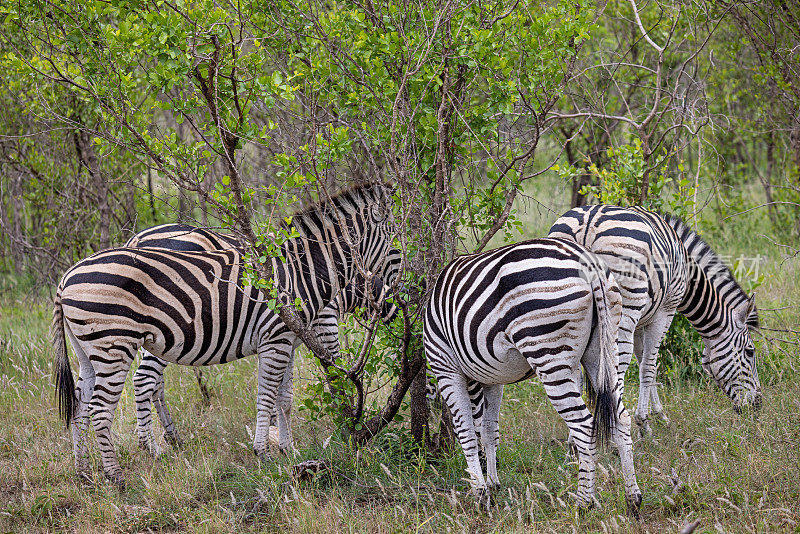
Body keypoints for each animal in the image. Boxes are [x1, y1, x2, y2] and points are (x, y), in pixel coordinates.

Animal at [126, 224, 404, 458]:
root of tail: (137, 239)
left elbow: (281, 389)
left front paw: (274, 431)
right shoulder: (324, 318)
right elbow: (334, 367)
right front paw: (345, 414)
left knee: (156, 383)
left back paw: (173, 438)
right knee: (145, 379)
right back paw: (154, 446)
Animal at [424, 240, 644, 516]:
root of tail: (587, 261)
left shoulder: (446, 368)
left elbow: (467, 432)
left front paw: (481, 494)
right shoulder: (493, 378)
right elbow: (488, 429)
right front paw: (492, 483)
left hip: (548, 352)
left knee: (584, 425)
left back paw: (583, 502)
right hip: (604, 349)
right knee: (621, 418)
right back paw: (632, 498)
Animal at [552, 205, 764, 436]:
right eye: (750, 352)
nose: (757, 406)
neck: (687, 274)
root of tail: (588, 224)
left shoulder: (641, 320)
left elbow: (644, 361)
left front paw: (659, 415)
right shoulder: (665, 311)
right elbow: (649, 366)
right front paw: (644, 423)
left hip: (570, 317)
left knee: (576, 373)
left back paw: (576, 439)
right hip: (621, 313)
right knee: (614, 370)